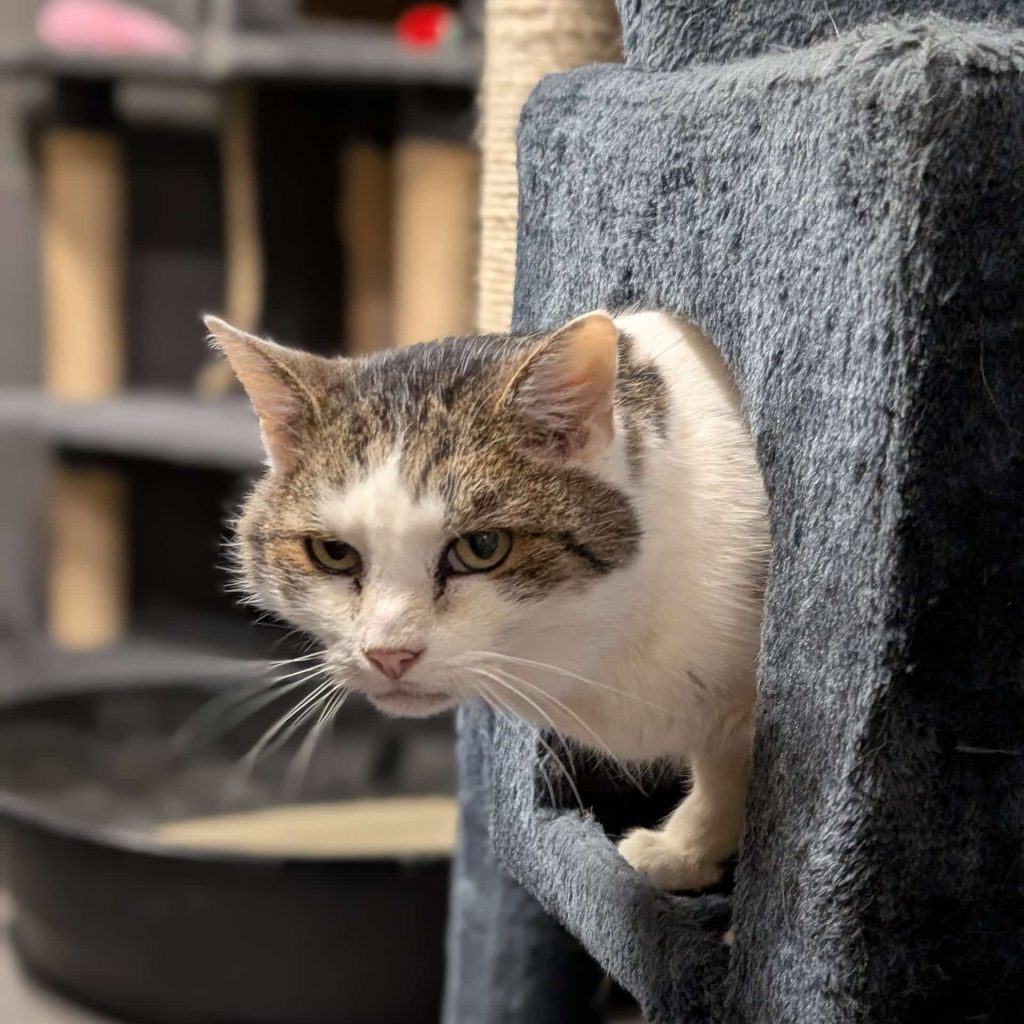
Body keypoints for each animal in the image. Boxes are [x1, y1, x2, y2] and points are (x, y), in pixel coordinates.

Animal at [207, 309, 770, 891]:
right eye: (334, 553)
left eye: (482, 547)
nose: (389, 655)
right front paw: (689, 852)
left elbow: (730, 771)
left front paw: (684, 852)